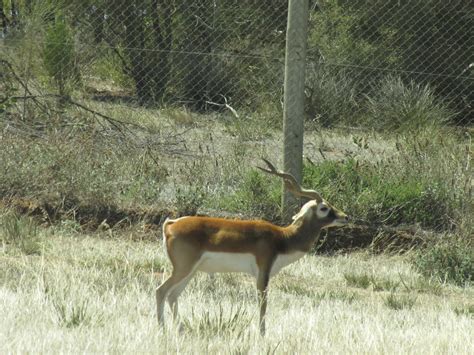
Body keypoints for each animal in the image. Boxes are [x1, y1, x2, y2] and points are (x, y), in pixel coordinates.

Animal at [157, 160, 346, 336]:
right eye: (324, 208)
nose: (345, 217)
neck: (283, 238)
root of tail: (171, 224)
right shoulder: (263, 272)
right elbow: (263, 304)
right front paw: (262, 335)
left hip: (191, 271)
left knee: (172, 296)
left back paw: (180, 330)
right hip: (183, 269)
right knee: (161, 291)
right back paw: (162, 330)